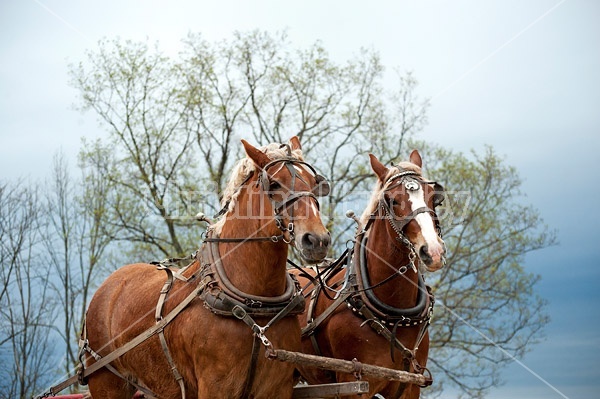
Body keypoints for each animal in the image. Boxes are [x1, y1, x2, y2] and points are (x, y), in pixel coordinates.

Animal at [81, 138, 330, 399]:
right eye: (273, 184)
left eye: (315, 184)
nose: (317, 240)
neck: (255, 306)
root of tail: (109, 285)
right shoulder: (215, 386)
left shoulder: (277, 386)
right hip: (107, 382)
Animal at [296, 151, 446, 399]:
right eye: (393, 201)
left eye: (435, 198)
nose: (433, 251)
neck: (396, 317)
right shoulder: (353, 383)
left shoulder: (409, 385)